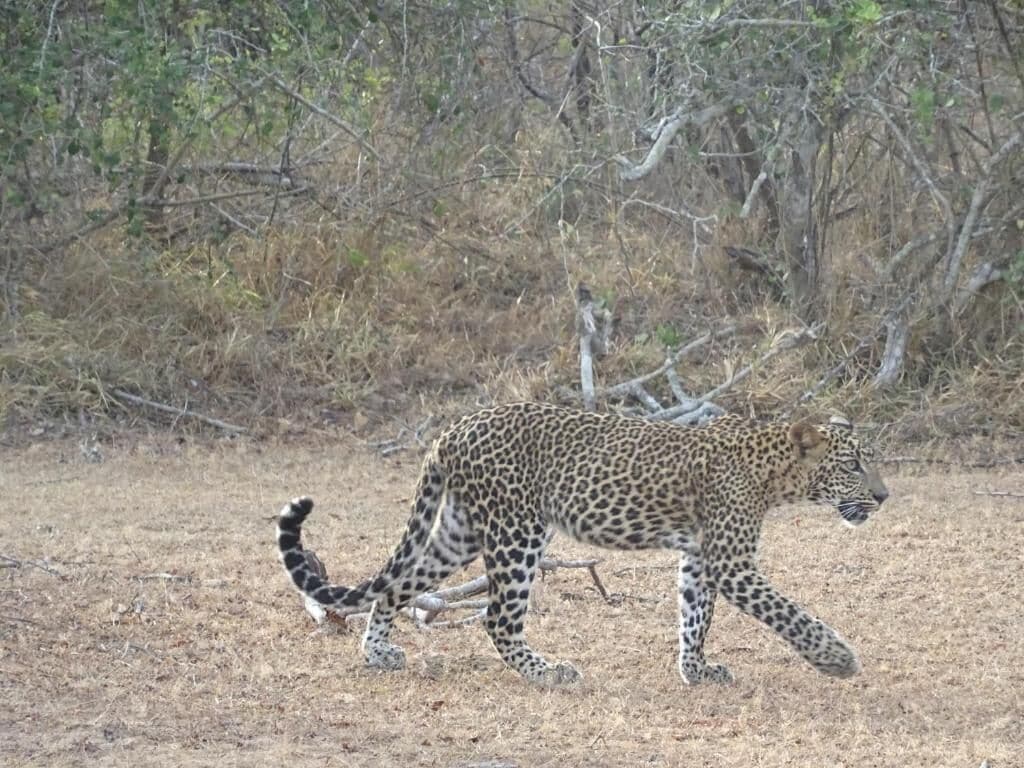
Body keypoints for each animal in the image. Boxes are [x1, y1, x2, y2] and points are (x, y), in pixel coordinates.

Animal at [276, 402, 888, 686]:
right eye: (854, 465)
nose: (884, 496)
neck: (776, 473)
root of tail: (454, 428)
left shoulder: (699, 558)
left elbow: (695, 617)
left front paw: (695, 671)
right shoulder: (732, 562)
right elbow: (788, 612)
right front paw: (837, 658)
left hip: (458, 532)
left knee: (395, 587)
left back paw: (378, 654)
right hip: (519, 531)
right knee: (498, 617)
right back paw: (546, 671)